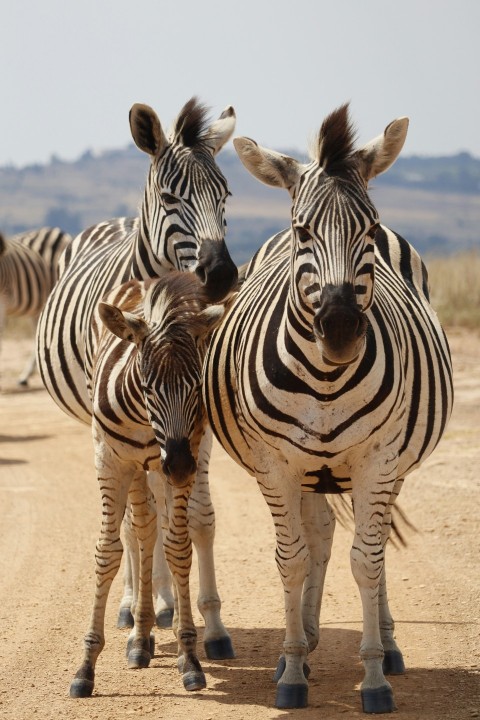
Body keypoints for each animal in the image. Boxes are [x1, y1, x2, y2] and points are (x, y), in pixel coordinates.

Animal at [69, 270, 231, 696]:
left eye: (195, 387)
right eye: (147, 386)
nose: (179, 466)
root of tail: (145, 280)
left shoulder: (180, 454)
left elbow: (178, 548)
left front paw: (189, 656)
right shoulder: (110, 459)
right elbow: (107, 553)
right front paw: (86, 665)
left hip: (172, 463)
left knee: (172, 528)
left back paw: (156, 635)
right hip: (138, 468)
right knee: (141, 530)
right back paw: (139, 638)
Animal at [203, 102, 454, 716]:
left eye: (368, 229)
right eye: (303, 231)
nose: (340, 330)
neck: (326, 378)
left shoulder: (378, 462)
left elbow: (368, 560)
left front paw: (375, 677)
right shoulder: (276, 465)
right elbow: (292, 560)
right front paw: (292, 668)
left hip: (388, 467)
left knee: (371, 544)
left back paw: (386, 645)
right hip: (310, 471)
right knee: (316, 536)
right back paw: (307, 641)